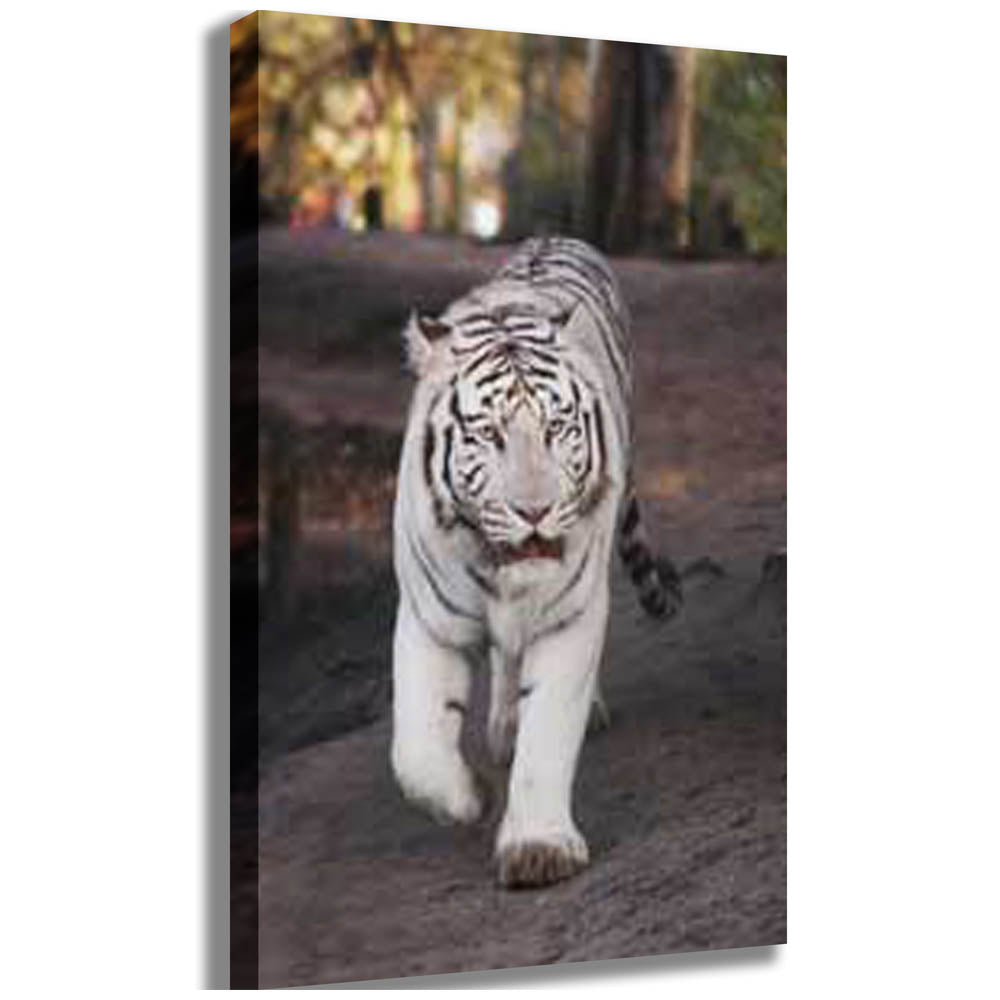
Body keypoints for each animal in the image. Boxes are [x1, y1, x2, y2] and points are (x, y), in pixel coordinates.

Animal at [390, 236, 682, 888]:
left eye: (557, 428)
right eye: (488, 435)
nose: (535, 511)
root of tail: (553, 237)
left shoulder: (568, 617)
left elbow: (549, 732)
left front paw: (538, 849)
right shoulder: (430, 620)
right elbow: (415, 751)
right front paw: (468, 797)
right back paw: (501, 730)